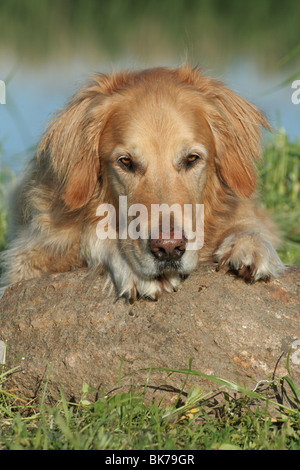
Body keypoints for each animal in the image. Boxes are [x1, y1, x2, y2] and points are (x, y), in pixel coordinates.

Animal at [1, 65, 284, 302]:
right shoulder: (26, 258)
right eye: (125, 162)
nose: (169, 248)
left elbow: (249, 226)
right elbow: (92, 234)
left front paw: (250, 244)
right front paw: (130, 266)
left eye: (192, 158)